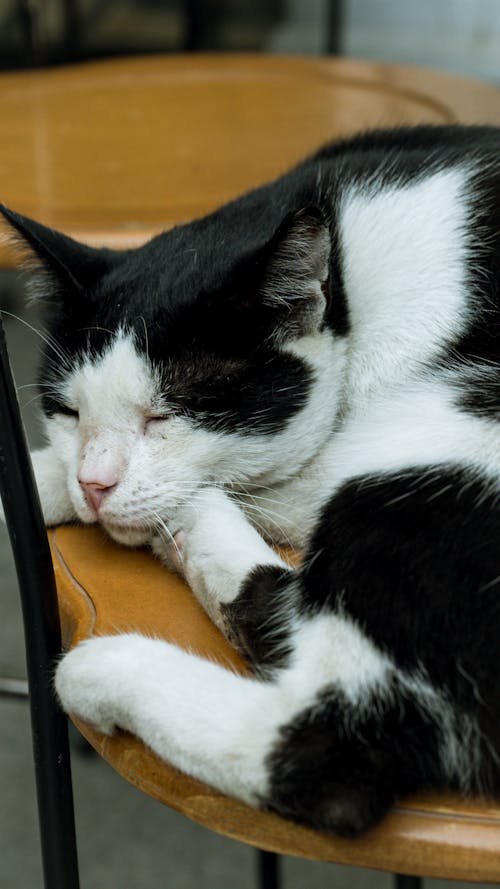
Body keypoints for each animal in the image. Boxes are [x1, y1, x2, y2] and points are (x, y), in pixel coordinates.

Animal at [0, 121, 500, 836]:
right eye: (67, 410)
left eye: (165, 414)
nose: (94, 485)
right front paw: (48, 475)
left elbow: (292, 476)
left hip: (442, 435)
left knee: (331, 752)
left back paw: (111, 653)